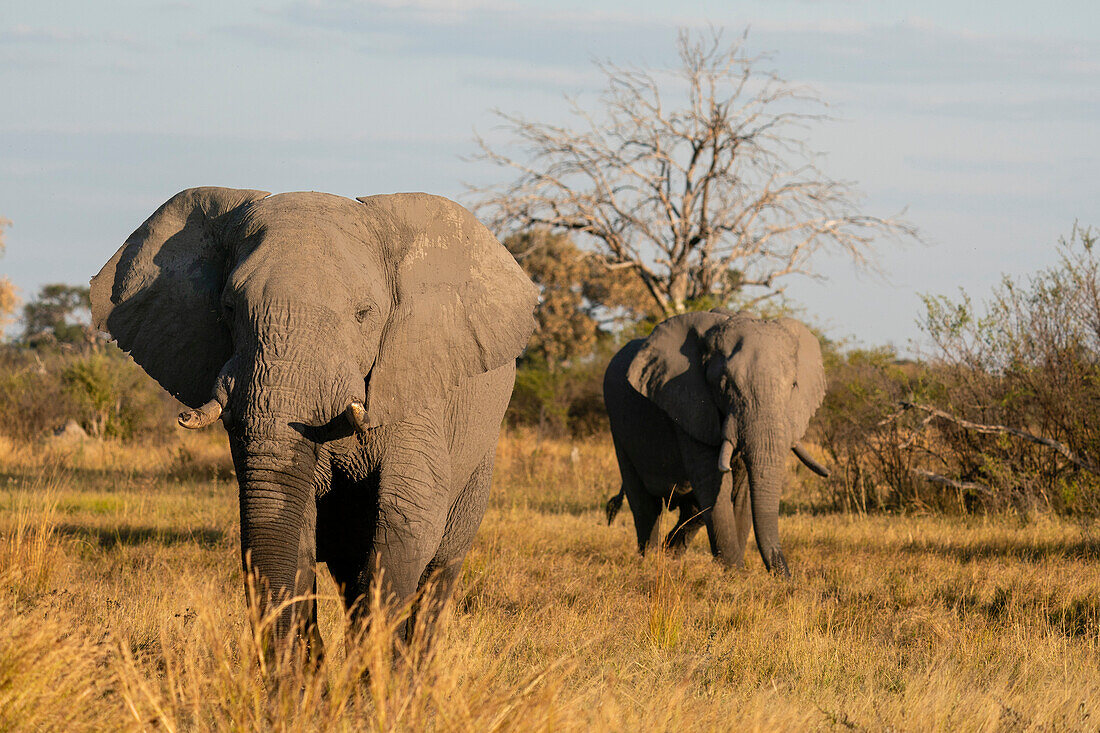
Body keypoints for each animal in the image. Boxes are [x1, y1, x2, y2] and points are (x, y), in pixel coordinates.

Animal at [92, 186, 539, 651]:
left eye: (364, 313)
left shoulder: (417, 391)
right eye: (229, 308)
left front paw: (376, 666)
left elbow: (406, 520)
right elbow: (297, 521)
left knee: (438, 570)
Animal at [607, 308, 827, 576]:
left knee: (692, 509)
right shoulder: (689, 406)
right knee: (645, 504)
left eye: (794, 385)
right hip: (618, 428)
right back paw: (650, 559)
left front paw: (736, 573)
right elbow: (714, 481)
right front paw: (734, 573)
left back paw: (670, 555)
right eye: (725, 385)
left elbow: (742, 491)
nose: (786, 577)